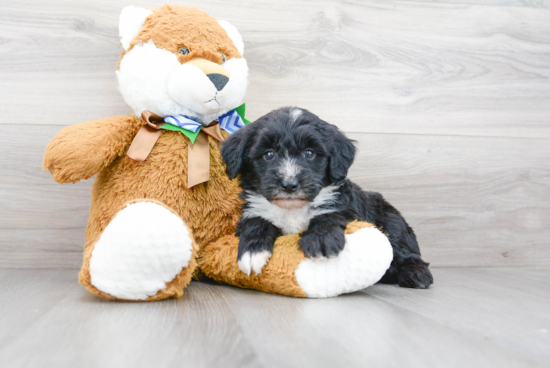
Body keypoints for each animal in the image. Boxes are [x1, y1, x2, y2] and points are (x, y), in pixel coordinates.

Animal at [222, 106, 434, 288]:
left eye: (309, 153)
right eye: (268, 155)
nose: (289, 184)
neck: (292, 209)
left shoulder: (346, 207)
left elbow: (330, 215)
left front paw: (320, 240)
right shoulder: (253, 210)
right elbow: (256, 222)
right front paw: (253, 251)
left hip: (391, 223)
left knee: (405, 252)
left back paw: (416, 274)